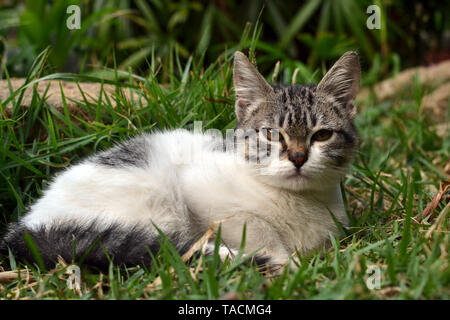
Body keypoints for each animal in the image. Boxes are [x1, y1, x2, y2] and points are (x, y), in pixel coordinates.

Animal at [0, 51, 358, 272]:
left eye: (322, 135)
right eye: (271, 134)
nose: (297, 157)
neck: (297, 202)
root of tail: (27, 226)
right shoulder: (197, 185)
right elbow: (251, 223)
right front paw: (284, 259)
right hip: (153, 198)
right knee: (168, 246)